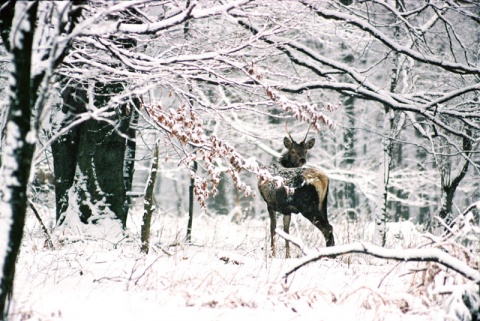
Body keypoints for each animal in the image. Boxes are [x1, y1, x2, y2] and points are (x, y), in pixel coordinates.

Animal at [258, 124, 334, 258]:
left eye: (306, 151)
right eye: (292, 150)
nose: (302, 160)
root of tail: (324, 178)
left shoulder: (270, 203)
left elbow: (273, 229)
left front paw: (272, 255)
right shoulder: (287, 209)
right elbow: (286, 231)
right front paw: (287, 256)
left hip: (309, 206)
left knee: (327, 228)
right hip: (323, 205)